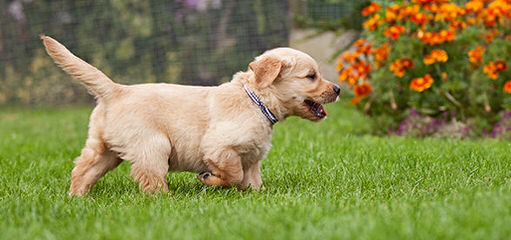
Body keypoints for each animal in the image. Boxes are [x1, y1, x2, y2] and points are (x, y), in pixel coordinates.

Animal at [41, 36, 340, 197]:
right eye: (311, 76)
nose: (337, 89)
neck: (255, 101)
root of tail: (116, 90)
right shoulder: (219, 147)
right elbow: (232, 174)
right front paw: (209, 180)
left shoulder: (253, 159)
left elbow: (253, 182)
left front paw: (256, 196)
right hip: (153, 145)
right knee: (150, 179)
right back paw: (165, 200)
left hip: (104, 148)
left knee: (82, 168)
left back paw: (77, 197)